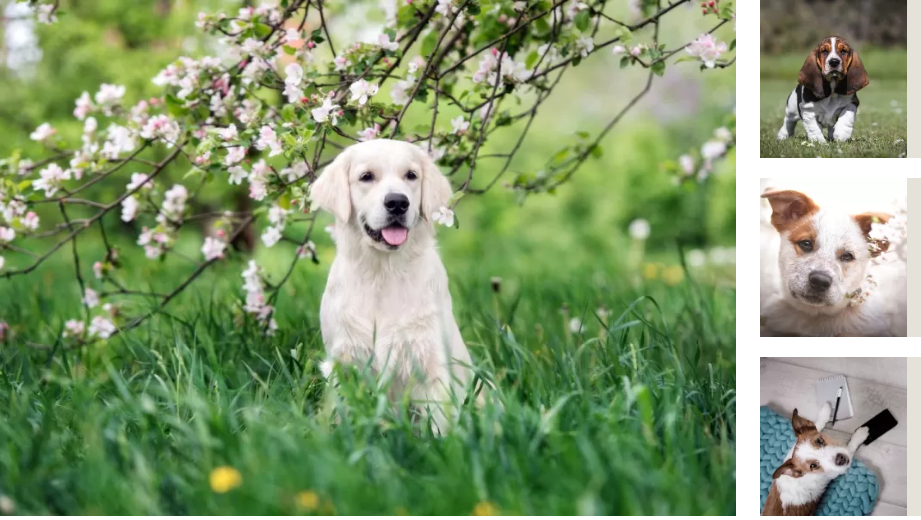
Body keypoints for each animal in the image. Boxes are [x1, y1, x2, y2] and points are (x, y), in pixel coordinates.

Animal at [310, 139, 488, 434]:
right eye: (366, 177)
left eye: (411, 175)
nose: (397, 202)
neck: (383, 272)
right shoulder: (344, 361)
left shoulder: (430, 366)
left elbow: (438, 426)